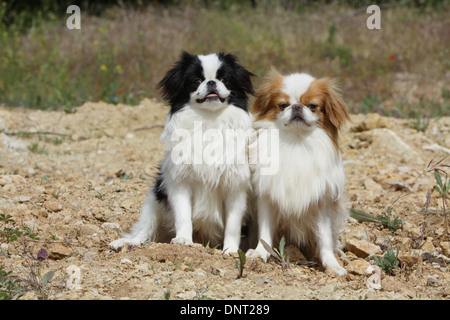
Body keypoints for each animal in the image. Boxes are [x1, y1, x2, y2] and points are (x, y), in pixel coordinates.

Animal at [108, 51, 253, 254]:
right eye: (196, 81)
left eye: (224, 79)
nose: (211, 82)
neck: (209, 120)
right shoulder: (180, 183)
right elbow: (183, 216)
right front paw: (183, 240)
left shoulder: (235, 187)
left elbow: (233, 225)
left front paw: (230, 251)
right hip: (154, 199)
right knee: (144, 232)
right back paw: (127, 243)